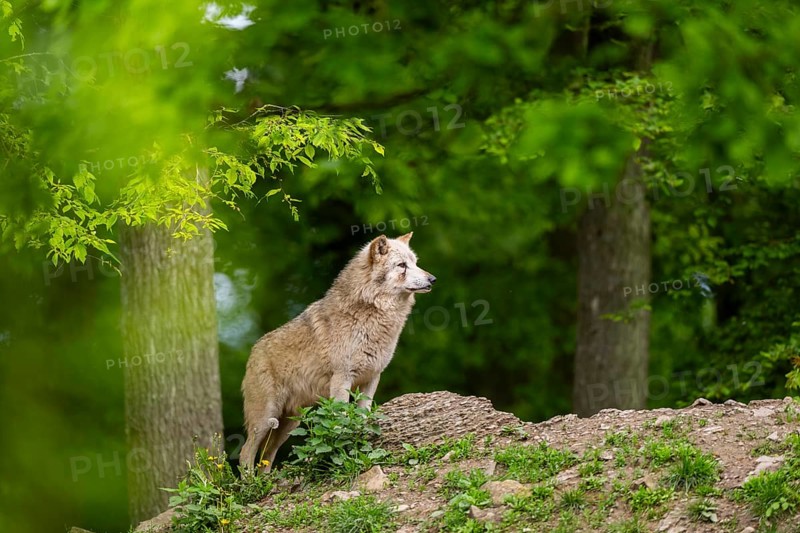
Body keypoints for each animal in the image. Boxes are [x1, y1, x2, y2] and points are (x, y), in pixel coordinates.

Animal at [239, 232, 436, 472]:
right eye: (402, 265)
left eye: (415, 263)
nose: (432, 279)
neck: (371, 312)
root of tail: (253, 352)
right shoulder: (342, 379)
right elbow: (341, 419)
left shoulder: (372, 378)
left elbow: (363, 415)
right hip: (266, 417)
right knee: (245, 452)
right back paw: (250, 481)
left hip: (289, 424)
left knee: (266, 456)